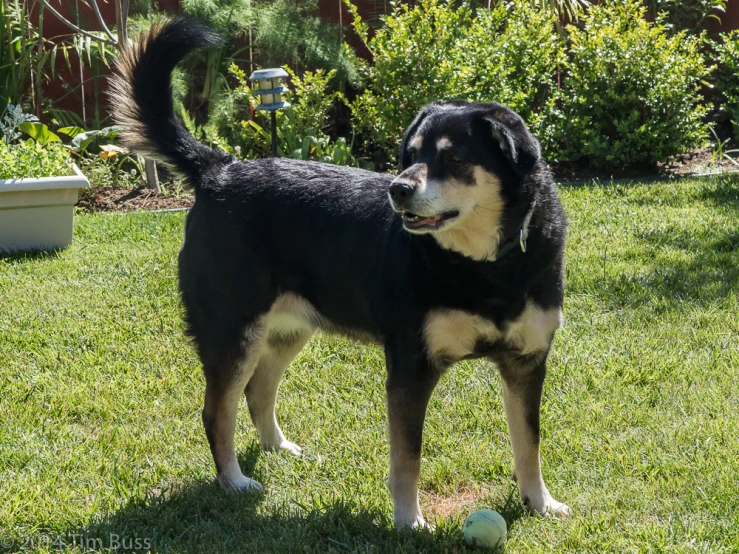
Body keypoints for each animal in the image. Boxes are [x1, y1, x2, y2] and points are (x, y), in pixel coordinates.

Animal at [111, 18, 572, 528]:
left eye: (454, 158)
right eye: (410, 154)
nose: (397, 189)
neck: (486, 265)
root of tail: (220, 170)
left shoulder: (527, 363)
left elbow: (529, 444)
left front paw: (541, 503)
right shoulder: (410, 367)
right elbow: (407, 458)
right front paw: (409, 522)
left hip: (285, 330)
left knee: (257, 390)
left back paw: (278, 448)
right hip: (233, 332)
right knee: (217, 413)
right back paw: (233, 481)